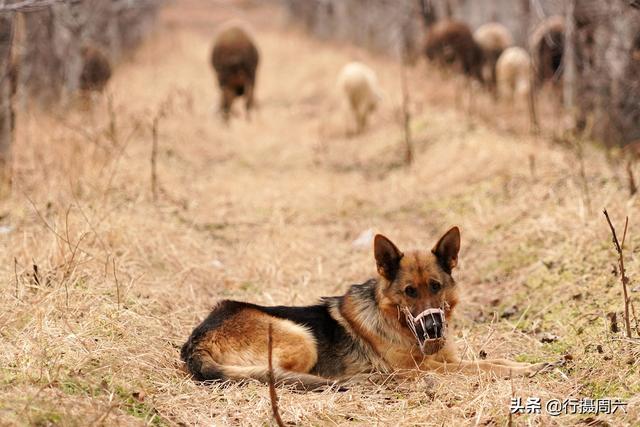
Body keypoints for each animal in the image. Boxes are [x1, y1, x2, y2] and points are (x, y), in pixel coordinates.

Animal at [182, 229, 552, 390]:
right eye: (409, 291)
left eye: (435, 287)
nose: (433, 329)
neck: (395, 321)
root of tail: (195, 341)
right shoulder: (423, 368)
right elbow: (481, 368)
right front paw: (523, 371)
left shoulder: (444, 359)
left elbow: (494, 361)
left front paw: (530, 365)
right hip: (301, 338)